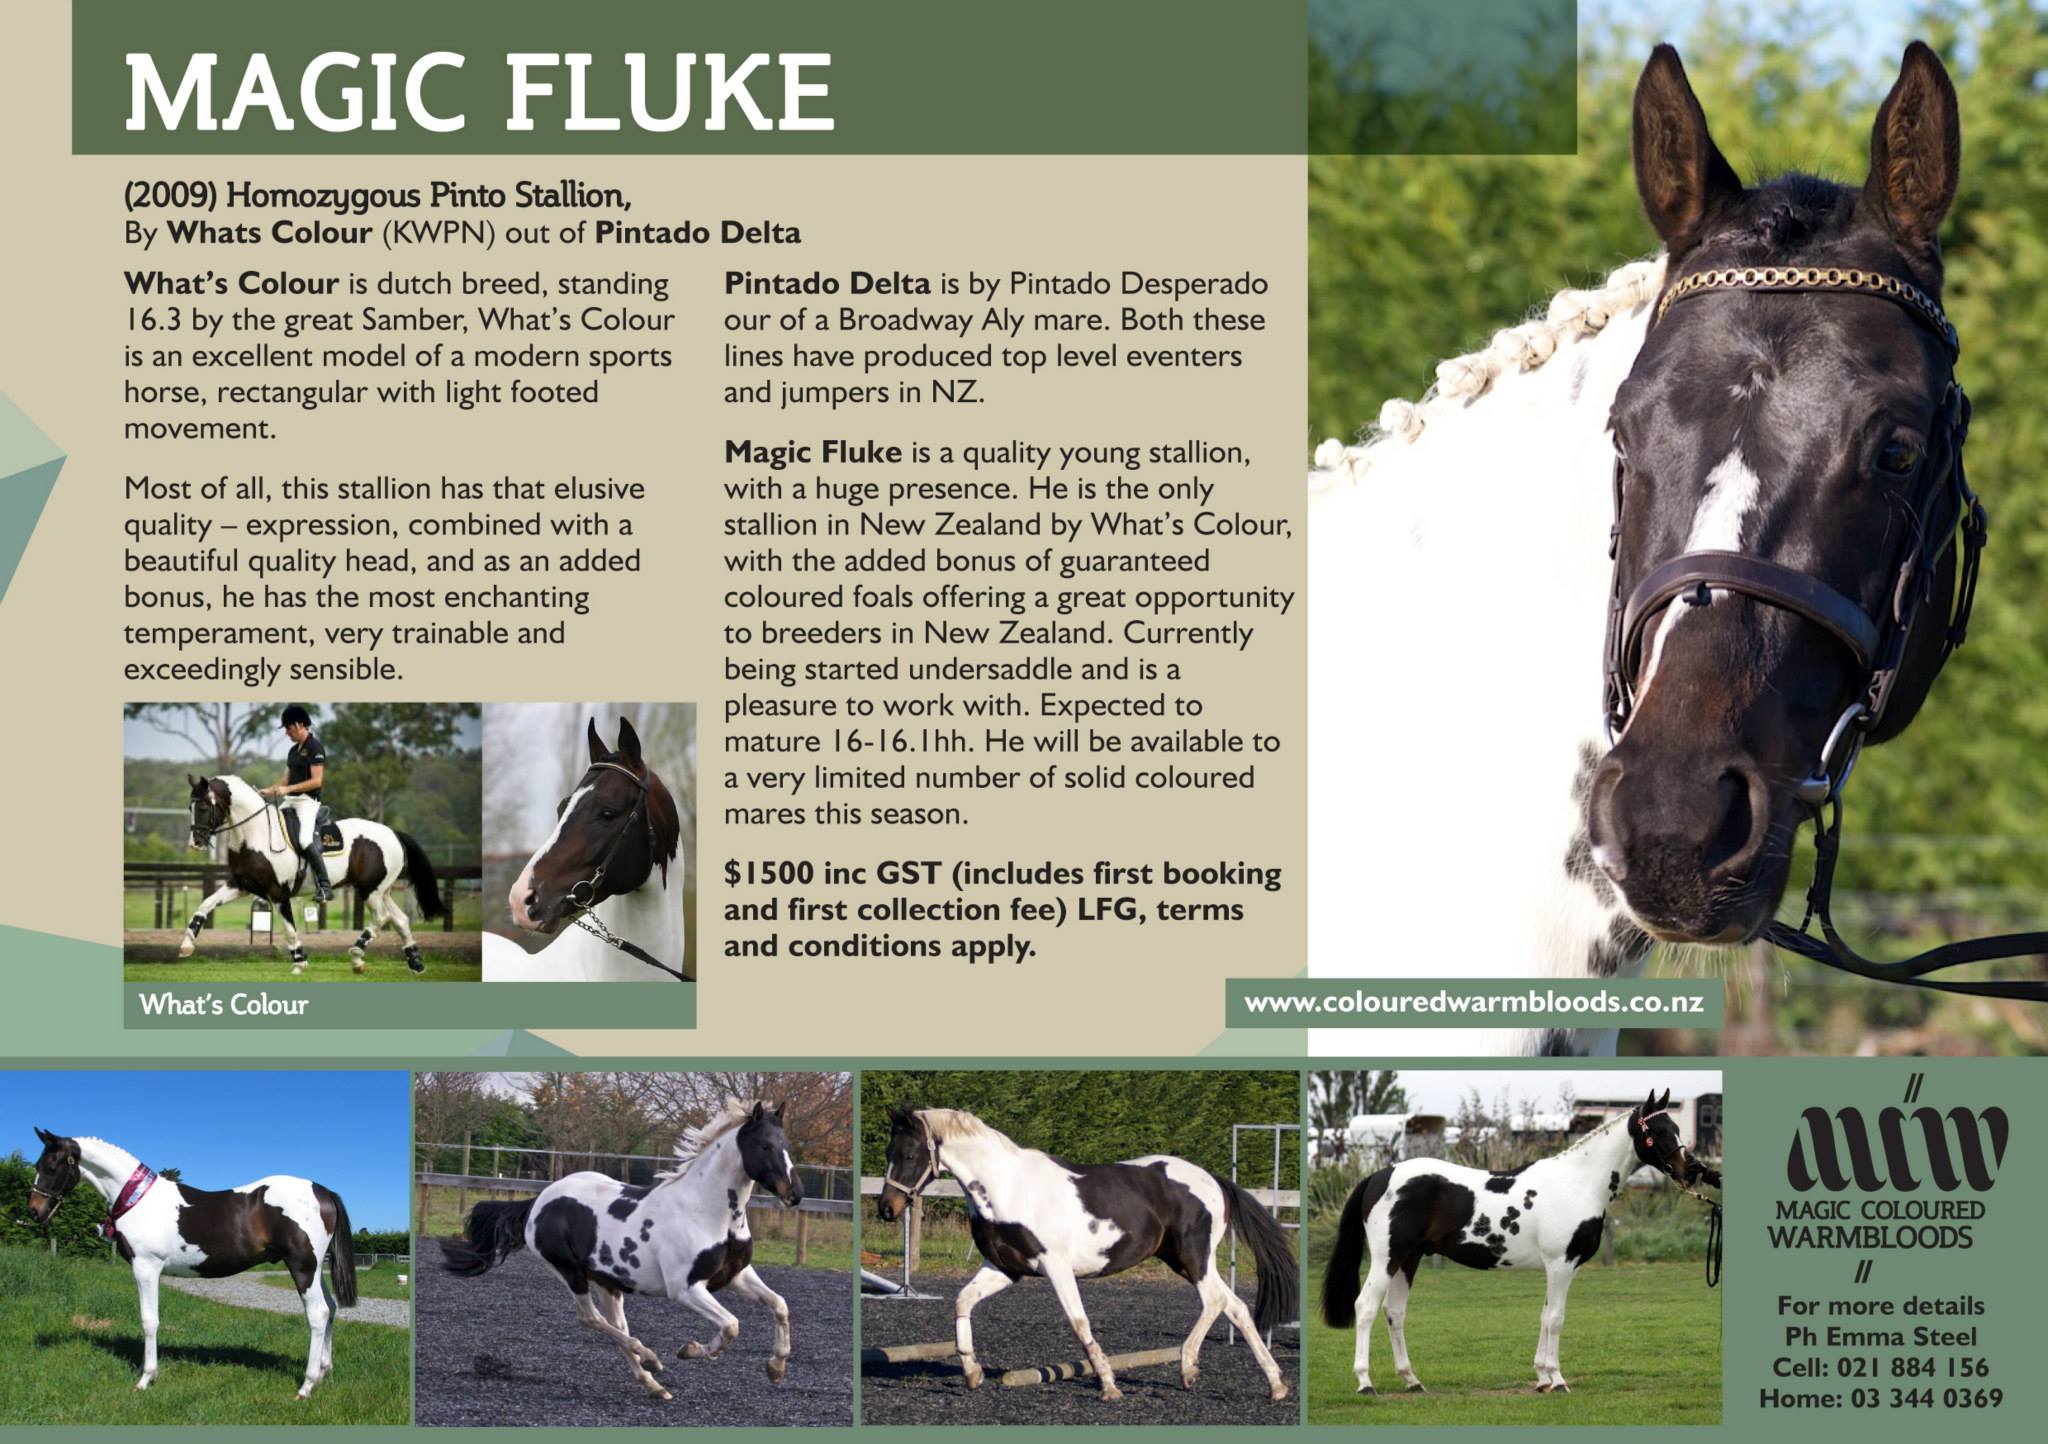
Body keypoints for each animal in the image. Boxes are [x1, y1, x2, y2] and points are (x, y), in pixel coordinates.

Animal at [25, 1127, 358, 1398]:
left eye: (51, 1166)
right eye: (38, 1166)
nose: (34, 1211)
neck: (137, 1199)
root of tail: (322, 1191)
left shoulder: (146, 1267)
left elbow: (149, 1321)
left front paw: (146, 1379)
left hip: (302, 1266)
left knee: (317, 1314)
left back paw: (306, 1386)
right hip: (316, 1269)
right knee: (331, 1308)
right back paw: (324, 1373)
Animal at [183, 772, 446, 975]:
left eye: (203, 807)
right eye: (189, 808)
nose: (195, 843)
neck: (255, 835)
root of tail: (393, 832)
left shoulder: (278, 893)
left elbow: (289, 929)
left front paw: (300, 961)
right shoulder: (241, 885)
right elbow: (205, 904)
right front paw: (186, 944)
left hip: (370, 890)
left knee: (382, 917)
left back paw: (357, 955)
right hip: (382, 890)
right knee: (399, 919)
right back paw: (415, 963)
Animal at [441, 1099, 802, 1401]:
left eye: (786, 1145)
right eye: (765, 1145)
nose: (794, 1194)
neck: (706, 1212)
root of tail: (540, 1201)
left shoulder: (736, 1276)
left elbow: (780, 1305)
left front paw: (776, 1368)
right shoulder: (686, 1289)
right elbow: (731, 1325)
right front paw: (689, 1350)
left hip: (608, 1282)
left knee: (616, 1325)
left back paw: (653, 1384)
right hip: (570, 1272)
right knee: (590, 1319)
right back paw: (652, 1360)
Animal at [876, 1105, 1297, 1403]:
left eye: (910, 1155)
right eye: (888, 1151)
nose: (887, 1209)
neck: (1006, 1187)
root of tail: (1214, 1180)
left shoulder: (1056, 1266)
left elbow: (1079, 1323)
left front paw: (1109, 1386)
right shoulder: (1003, 1267)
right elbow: (963, 1301)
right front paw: (971, 1371)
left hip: (1193, 1259)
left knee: (1215, 1302)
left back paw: (1189, 1368)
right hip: (1187, 1261)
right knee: (1236, 1307)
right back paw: (1274, 1384)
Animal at [1321, 1089, 1708, 1396]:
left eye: (1675, 1128)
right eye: (1657, 1130)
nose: (1692, 1170)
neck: (1577, 1182)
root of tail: (1379, 1175)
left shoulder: (1559, 1267)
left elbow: (1544, 1315)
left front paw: (1542, 1379)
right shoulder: (1561, 1264)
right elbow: (1556, 1318)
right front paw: (1558, 1380)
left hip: (1409, 1259)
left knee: (1395, 1312)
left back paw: (1412, 1380)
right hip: (1387, 1257)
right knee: (1366, 1307)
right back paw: (1365, 1383)